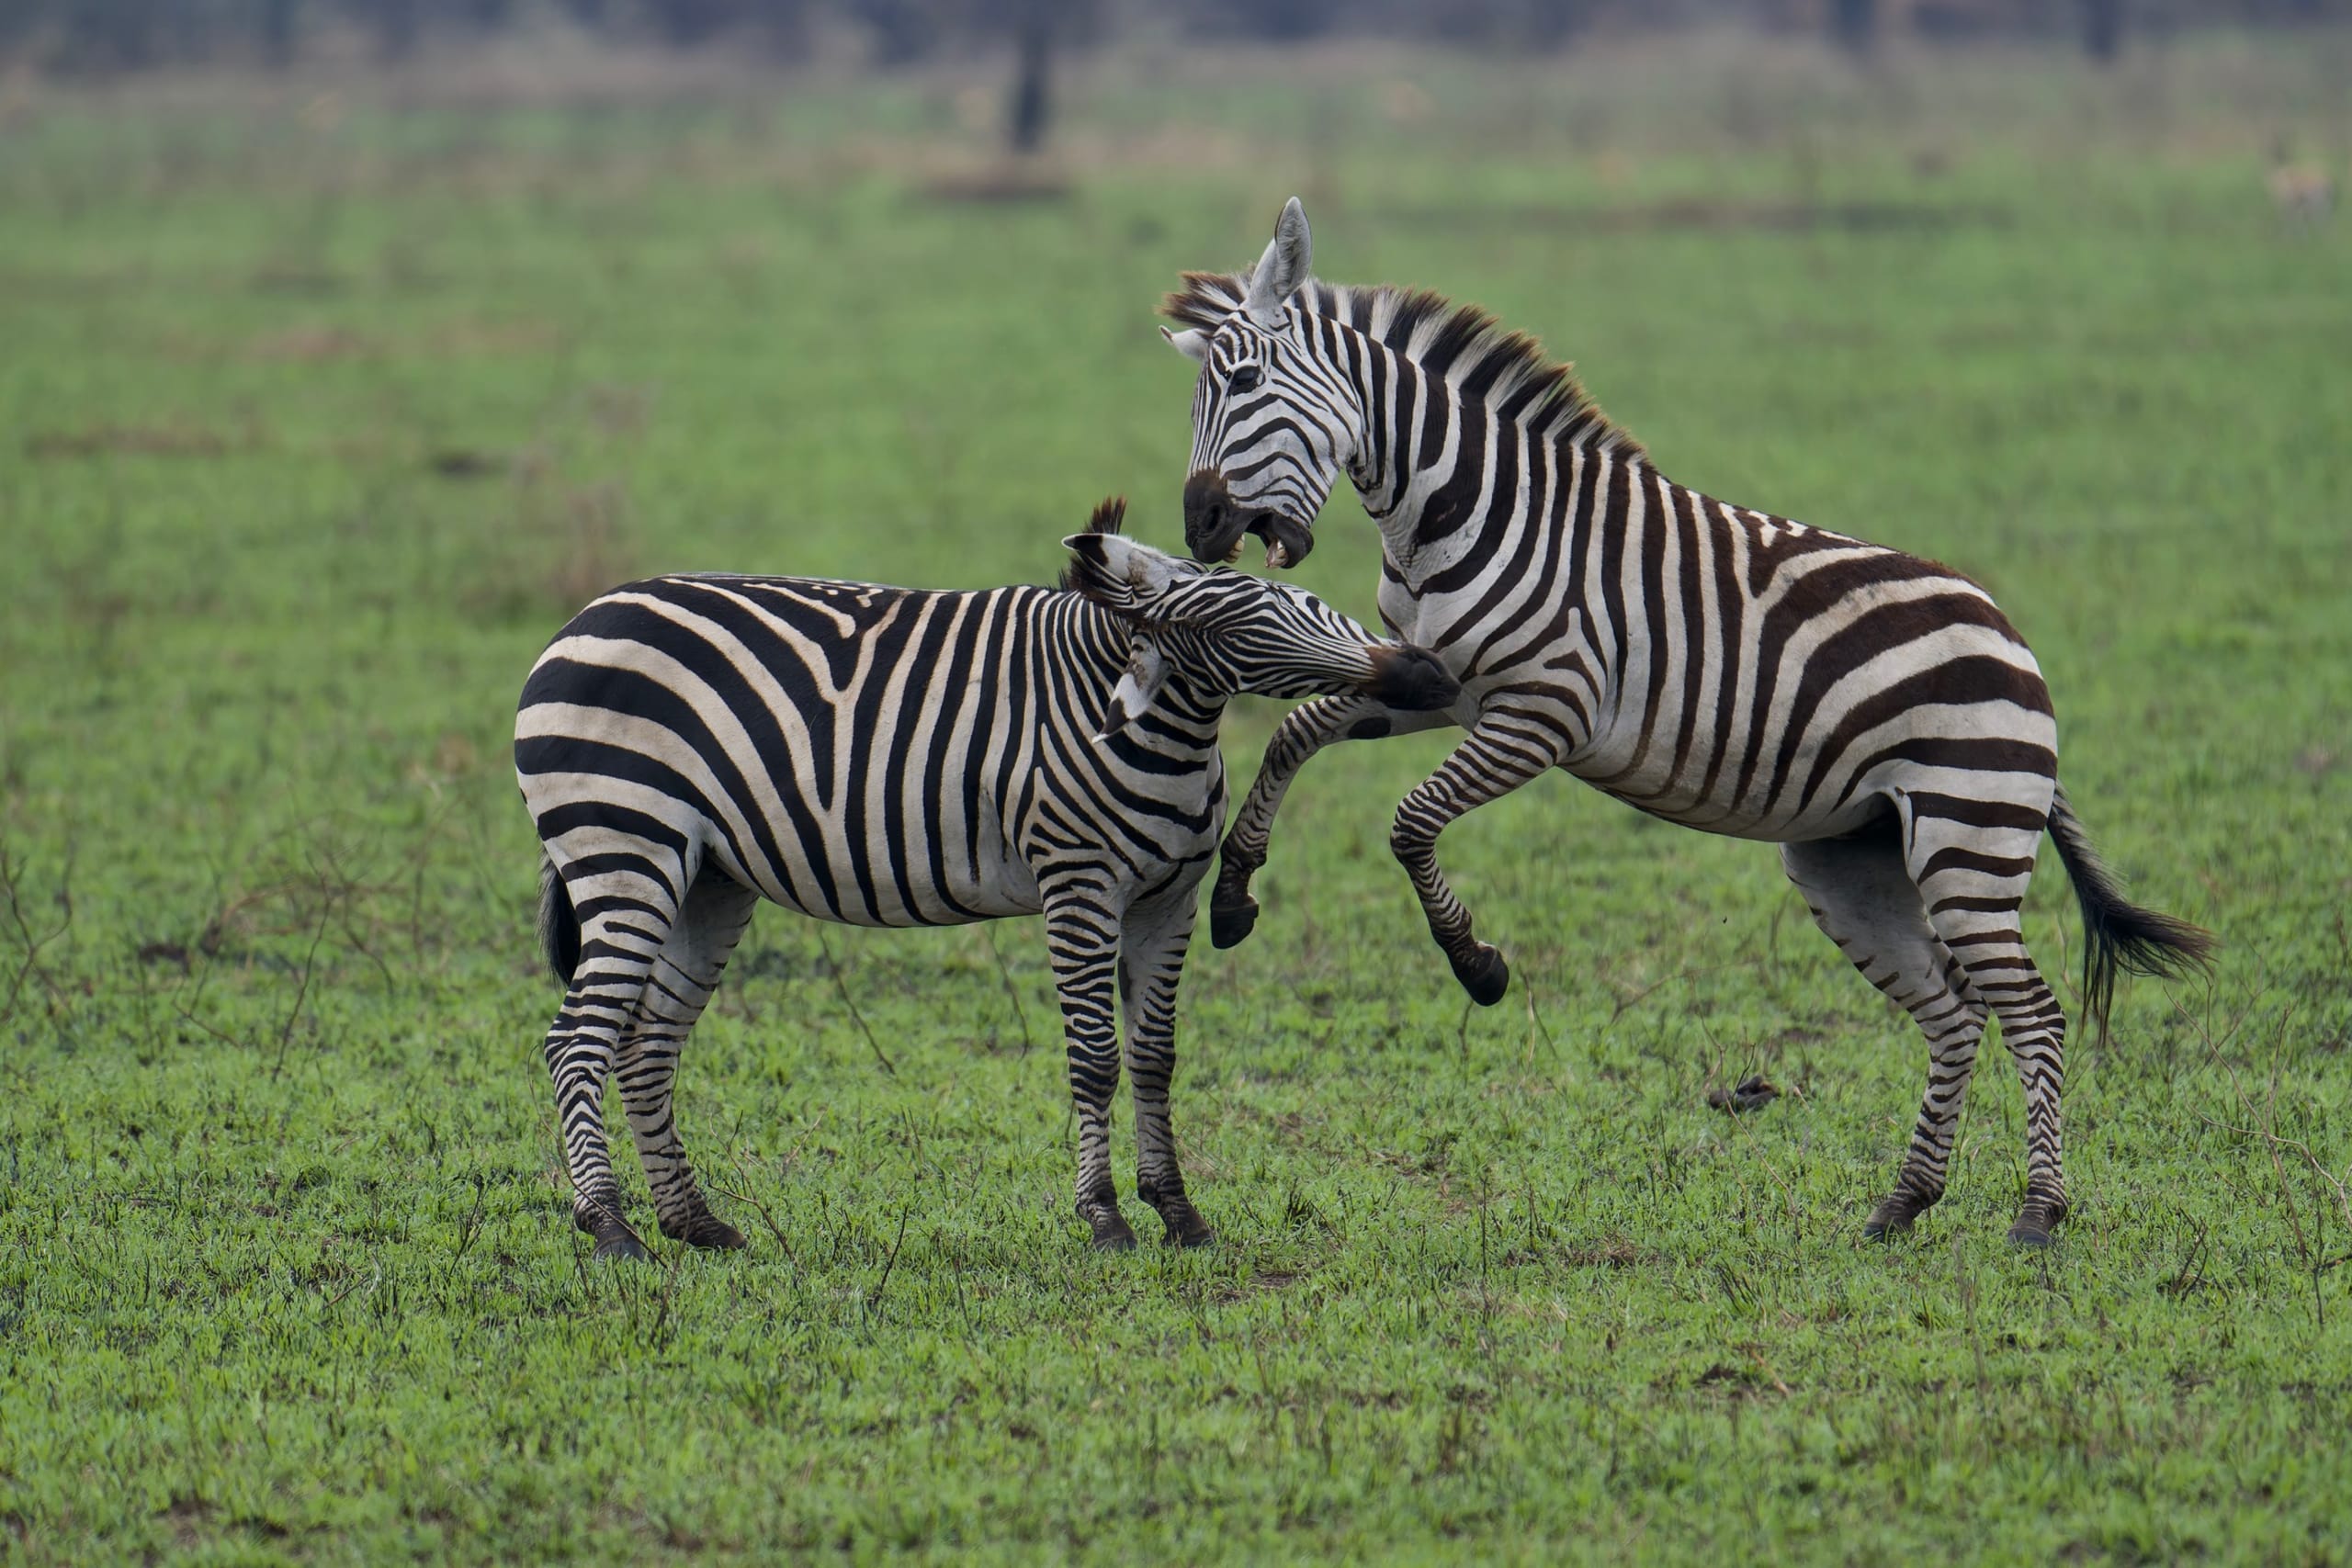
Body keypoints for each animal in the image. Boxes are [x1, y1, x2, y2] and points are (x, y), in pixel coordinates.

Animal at [515, 498, 1459, 1259]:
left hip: (709, 880)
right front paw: (1105, 1216)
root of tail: (581, 619)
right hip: (625, 845)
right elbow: (1095, 1056)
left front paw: (1179, 1211)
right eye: (1238, 641)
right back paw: (611, 1228)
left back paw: (695, 1222)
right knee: (577, 1041)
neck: (1162, 732)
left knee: (646, 1044)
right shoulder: (1079, 885)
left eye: (1300, 604)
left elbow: (1155, 1056)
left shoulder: (1170, 901)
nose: (1428, 674)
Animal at [1160, 200, 2211, 1246]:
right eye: (1197, 395)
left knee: (2032, 1012)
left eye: (1244, 380)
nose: (1199, 526)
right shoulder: (1437, 682)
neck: (1449, 514)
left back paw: (2038, 1212)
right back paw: (1902, 1203)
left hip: (1968, 837)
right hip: (1852, 860)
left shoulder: (1544, 709)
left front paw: (1478, 967)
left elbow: (1410, 822)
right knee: (1953, 1012)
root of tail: (2012, 640)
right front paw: (1235, 894)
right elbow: (1295, 735)